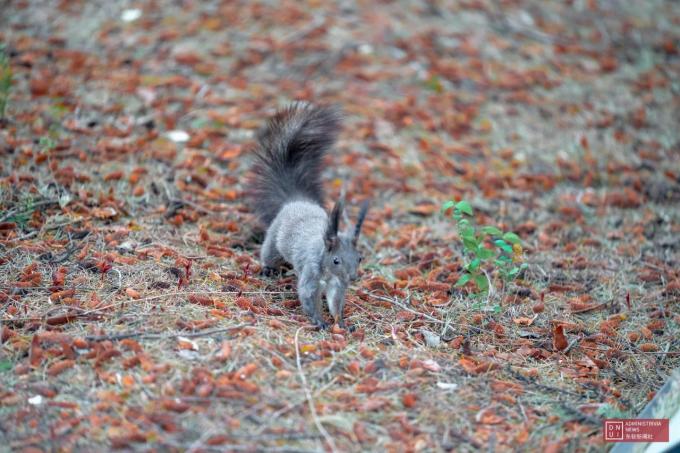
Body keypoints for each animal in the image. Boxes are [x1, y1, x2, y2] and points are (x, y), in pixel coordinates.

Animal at [248, 102, 370, 328]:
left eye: (360, 258)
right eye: (336, 260)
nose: (353, 278)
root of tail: (297, 200)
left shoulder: (337, 285)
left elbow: (335, 302)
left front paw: (340, 323)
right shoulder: (311, 273)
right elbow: (308, 297)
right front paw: (320, 322)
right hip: (274, 239)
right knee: (269, 253)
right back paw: (268, 268)